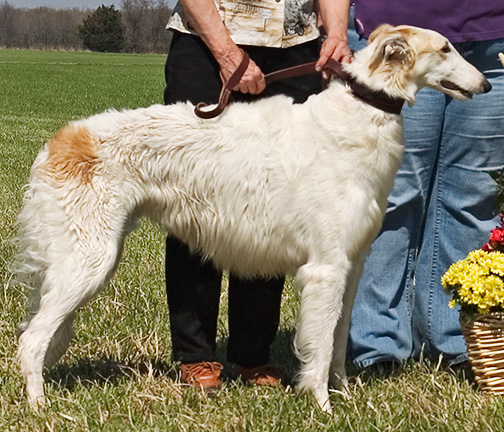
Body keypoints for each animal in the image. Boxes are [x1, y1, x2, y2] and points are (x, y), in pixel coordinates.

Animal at [14, 25, 488, 410]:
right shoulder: (326, 269)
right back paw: (40, 406)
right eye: (445, 48)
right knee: (31, 340)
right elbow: (319, 349)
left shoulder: (352, 266)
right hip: (89, 261)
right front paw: (322, 407)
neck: (358, 114)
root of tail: (60, 140)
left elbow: (336, 346)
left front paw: (346, 397)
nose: (485, 83)